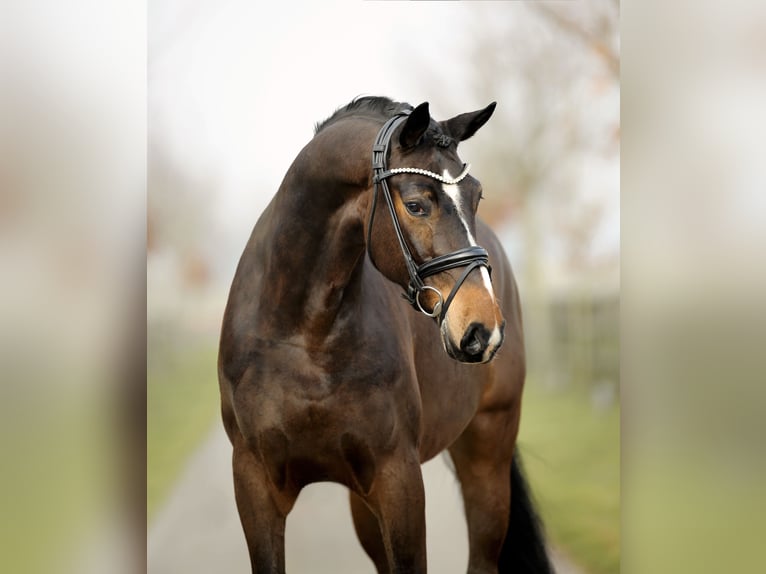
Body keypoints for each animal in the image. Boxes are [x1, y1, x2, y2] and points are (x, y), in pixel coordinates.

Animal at [216, 97, 552, 572]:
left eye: (477, 195)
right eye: (415, 205)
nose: (483, 329)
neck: (305, 336)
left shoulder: (398, 480)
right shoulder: (255, 483)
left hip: (487, 452)